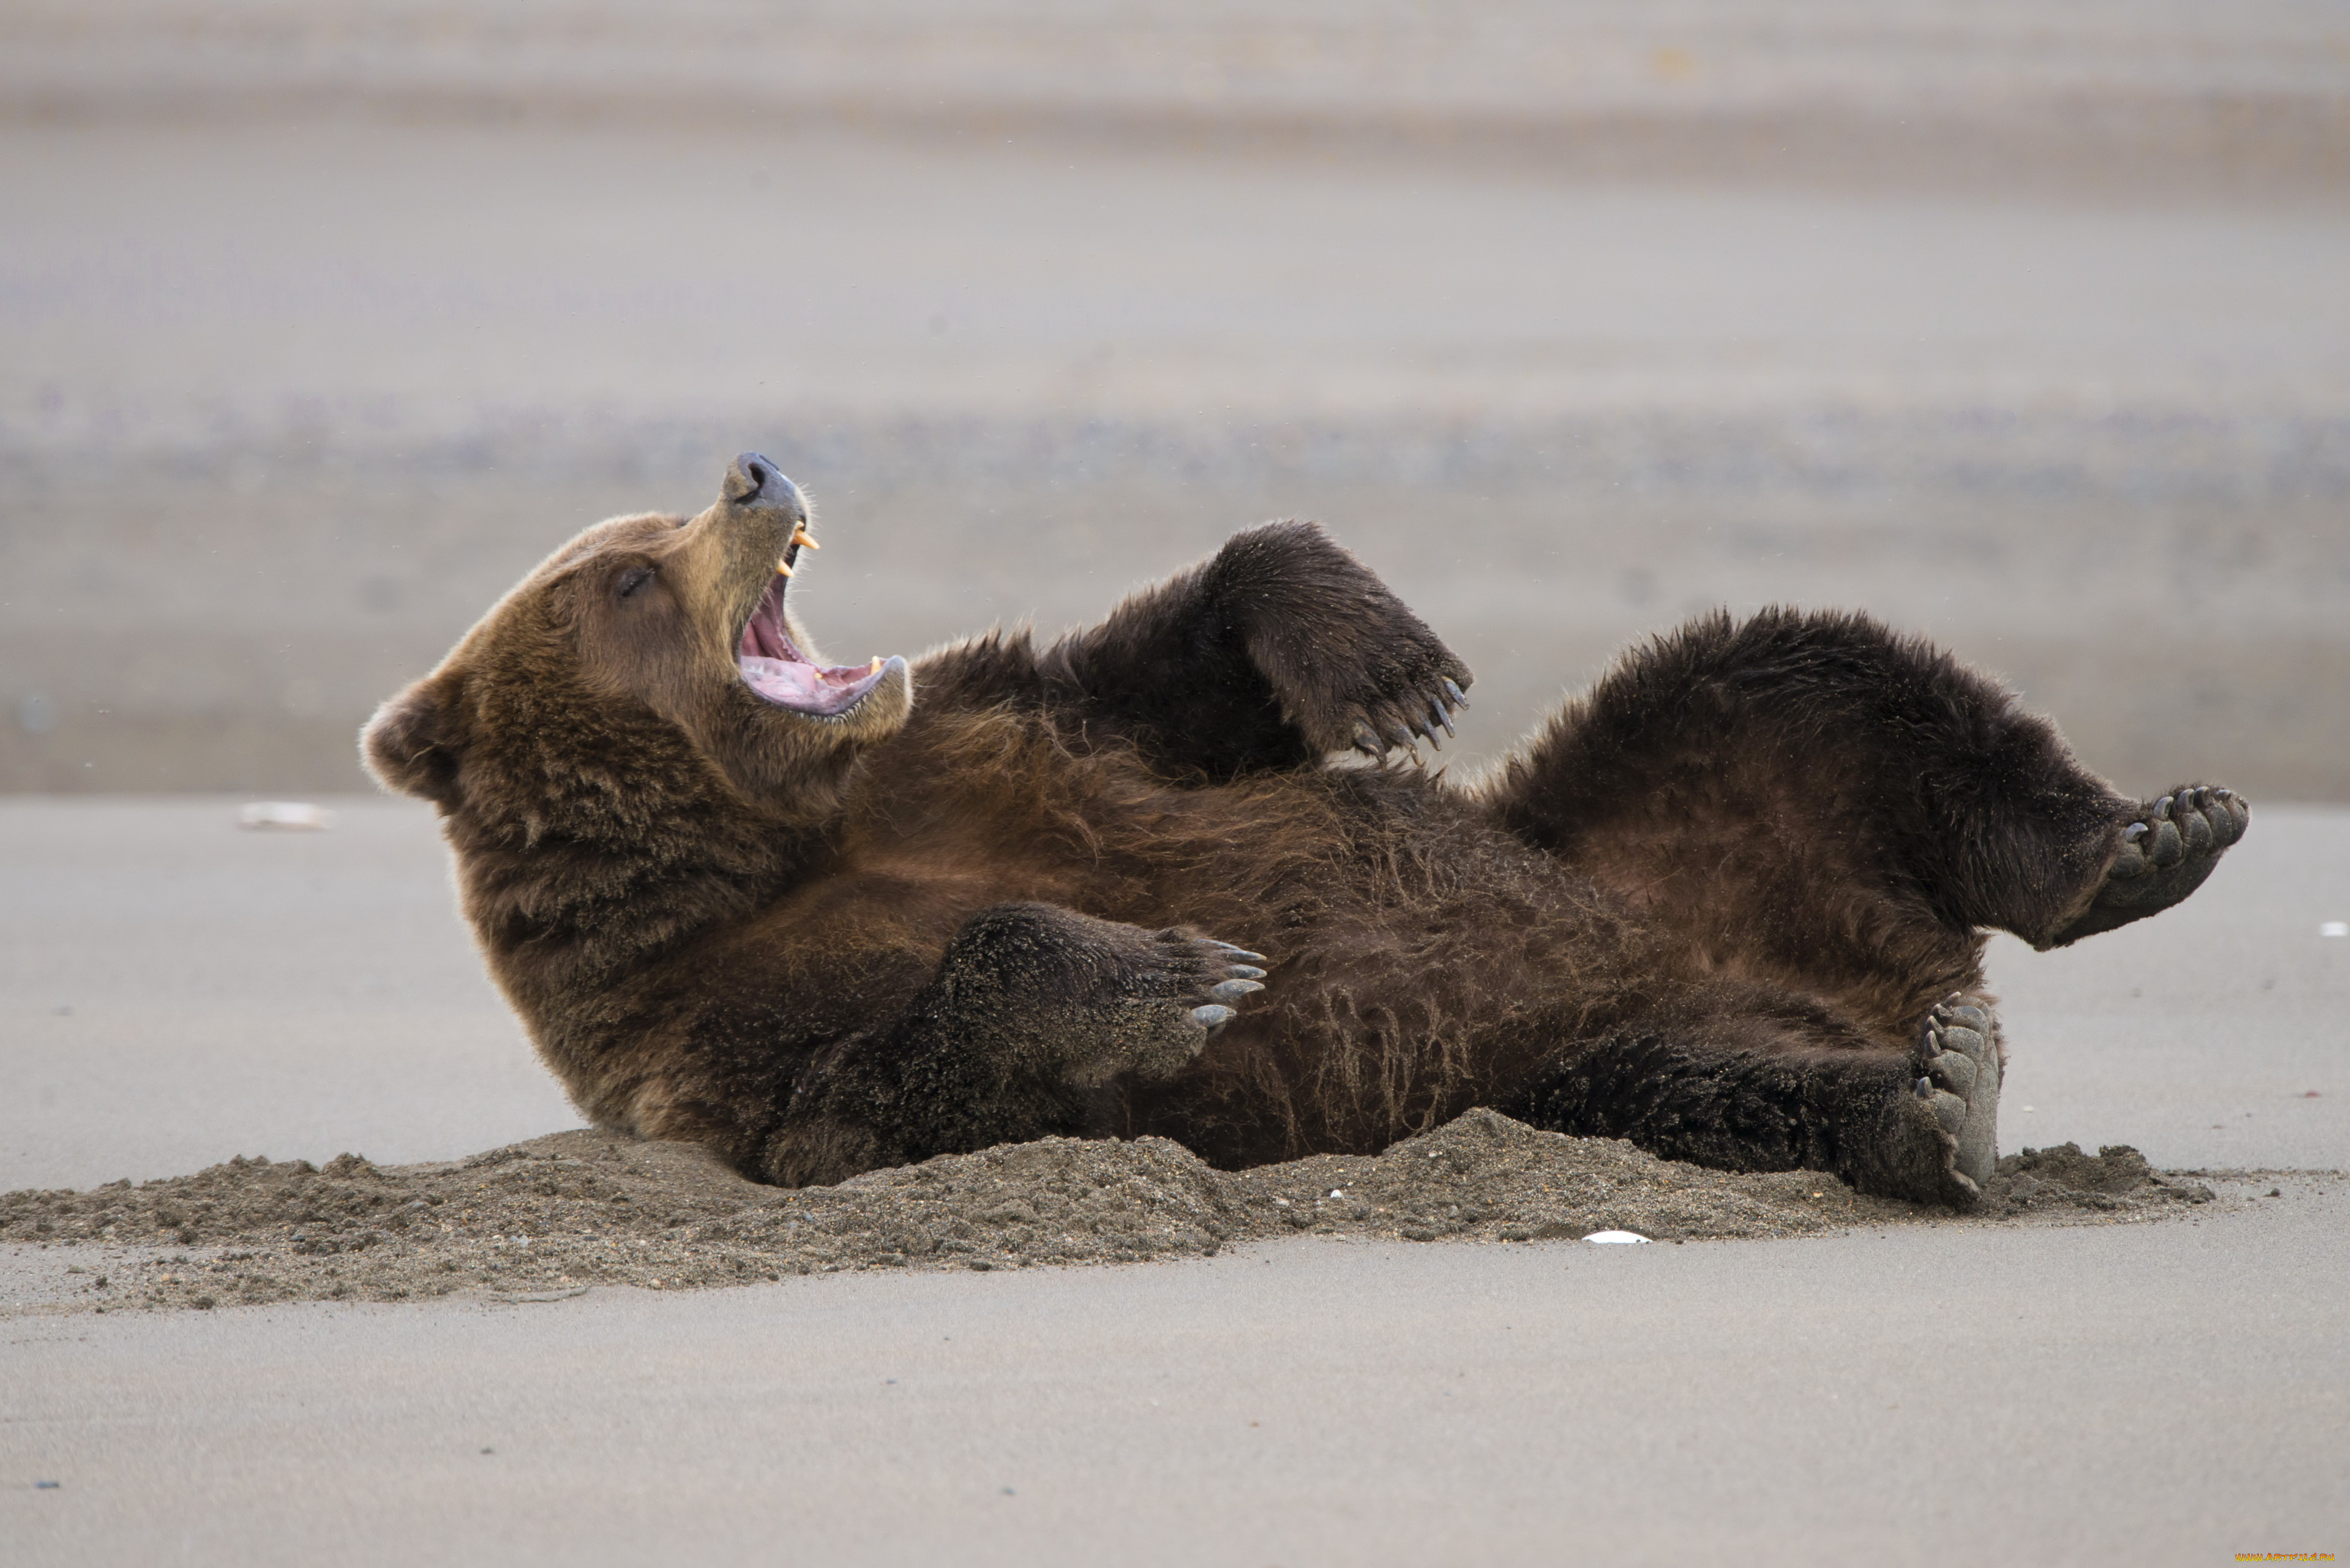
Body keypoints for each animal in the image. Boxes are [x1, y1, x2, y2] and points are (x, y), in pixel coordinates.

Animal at [356, 454, 2246, 1212]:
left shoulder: (987, 735)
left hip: (1682, 811)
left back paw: (2142, 843)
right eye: (619, 573)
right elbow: (870, 1099)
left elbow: (1178, 675)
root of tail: (1861, 963)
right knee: (1708, 1088)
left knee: (1804, 670)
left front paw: (1390, 667)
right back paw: (1930, 1102)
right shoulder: (703, 1026)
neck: (778, 832)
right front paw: (1178, 975)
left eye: (649, 519)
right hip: (1588, 1053)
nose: (755, 471)